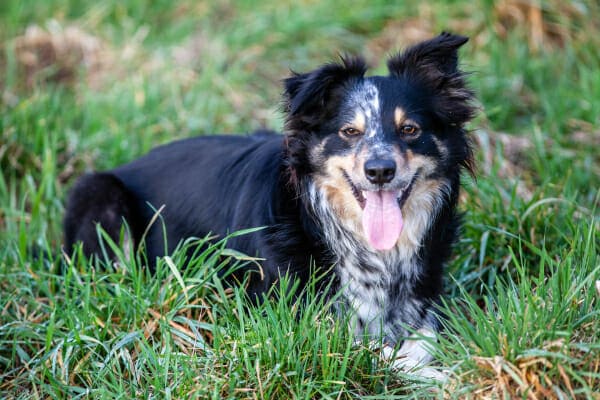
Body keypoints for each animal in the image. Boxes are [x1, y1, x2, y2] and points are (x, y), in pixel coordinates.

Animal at [63, 32, 476, 376]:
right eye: (349, 131)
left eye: (409, 129)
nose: (379, 171)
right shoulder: (294, 316)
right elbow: (377, 353)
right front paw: (440, 377)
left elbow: (425, 339)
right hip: (100, 194)